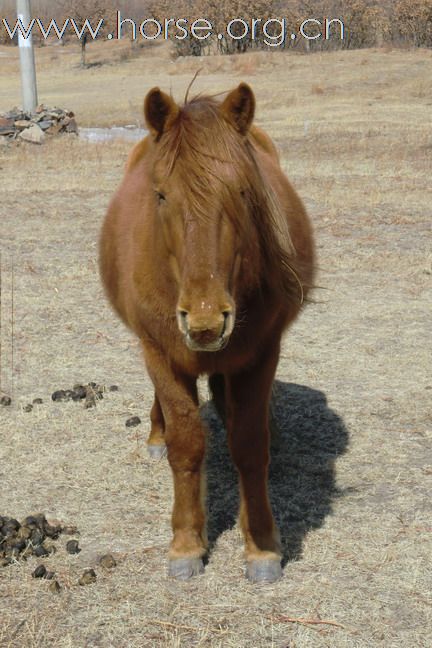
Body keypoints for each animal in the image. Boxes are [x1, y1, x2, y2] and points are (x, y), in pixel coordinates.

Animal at [99, 81, 316, 584]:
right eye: (160, 195)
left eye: (242, 190)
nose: (204, 320)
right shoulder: (159, 353)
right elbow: (186, 444)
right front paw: (186, 543)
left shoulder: (261, 353)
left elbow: (249, 443)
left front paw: (261, 545)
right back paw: (155, 436)